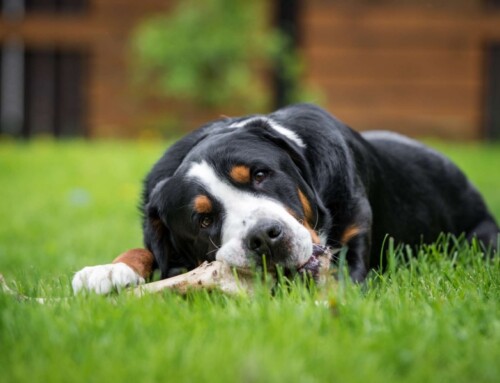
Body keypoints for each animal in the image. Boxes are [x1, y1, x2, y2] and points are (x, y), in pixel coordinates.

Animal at [72, 103, 498, 296]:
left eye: (260, 175)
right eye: (204, 220)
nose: (264, 236)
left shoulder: (353, 246)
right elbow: (144, 250)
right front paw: (108, 270)